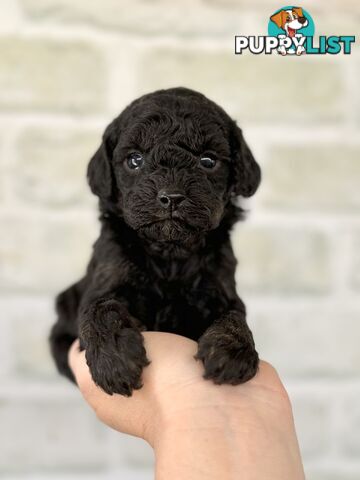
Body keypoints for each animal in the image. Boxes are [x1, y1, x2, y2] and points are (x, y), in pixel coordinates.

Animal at [49, 88, 260, 396]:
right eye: (135, 160)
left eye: (208, 161)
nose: (171, 196)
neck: (169, 252)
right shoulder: (107, 275)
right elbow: (101, 307)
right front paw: (115, 360)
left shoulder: (220, 287)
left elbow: (234, 315)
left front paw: (231, 353)